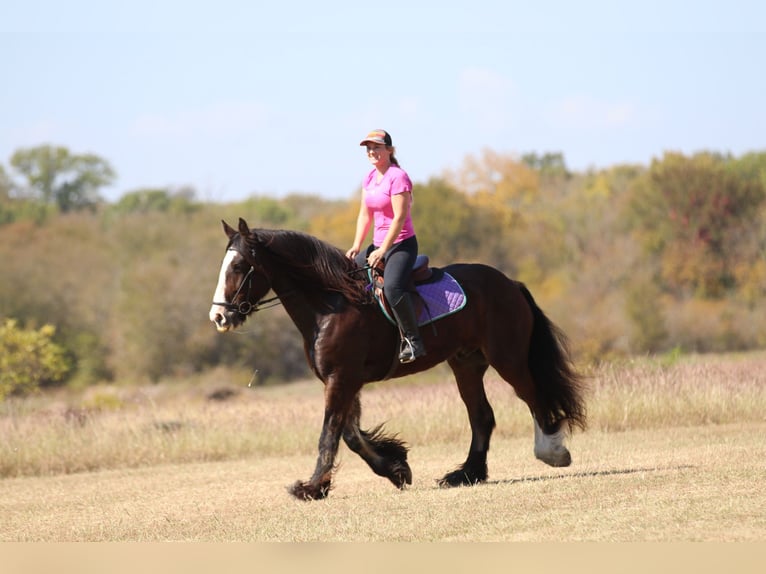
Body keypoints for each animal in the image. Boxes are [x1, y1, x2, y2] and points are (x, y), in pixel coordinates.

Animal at [207, 218, 584, 502]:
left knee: (533, 397)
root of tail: (509, 283)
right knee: (482, 416)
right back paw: (466, 474)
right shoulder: (345, 381)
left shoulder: (341, 379)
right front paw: (396, 469)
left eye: (239, 266)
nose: (219, 317)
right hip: (466, 364)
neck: (331, 305)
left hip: (508, 358)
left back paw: (552, 452)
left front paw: (312, 487)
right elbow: (350, 434)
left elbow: (330, 434)